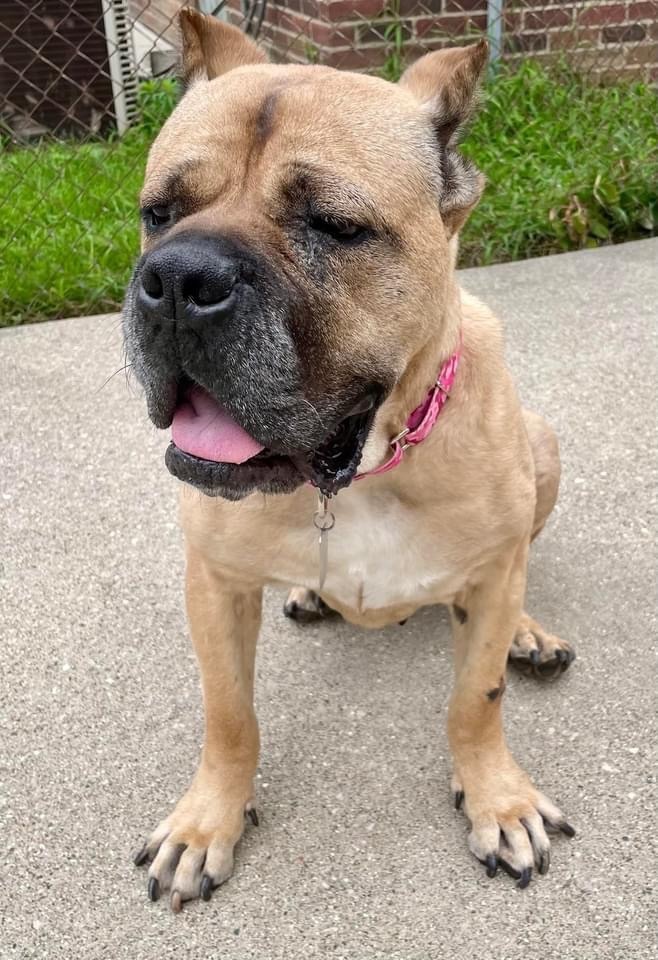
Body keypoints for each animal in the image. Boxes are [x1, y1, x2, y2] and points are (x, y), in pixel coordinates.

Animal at [123, 9, 576, 916]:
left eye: (334, 225)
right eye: (160, 213)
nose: (178, 279)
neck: (362, 472)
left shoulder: (491, 578)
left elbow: (476, 702)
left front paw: (497, 799)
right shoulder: (215, 584)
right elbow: (229, 714)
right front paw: (206, 821)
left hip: (542, 449)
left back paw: (528, 631)